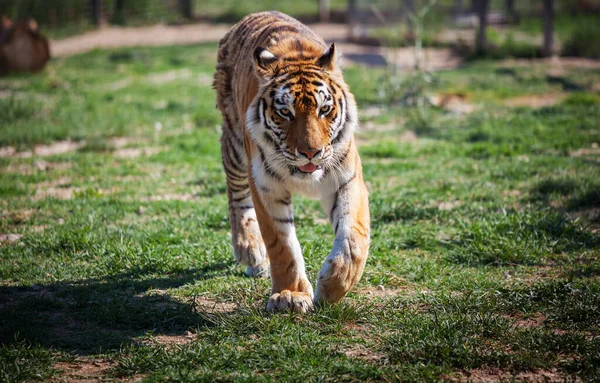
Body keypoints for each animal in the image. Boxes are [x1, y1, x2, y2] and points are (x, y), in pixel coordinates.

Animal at [211, 11, 370, 316]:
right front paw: (290, 296)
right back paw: (250, 250)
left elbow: (354, 239)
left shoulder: (346, 179)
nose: (311, 152)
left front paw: (332, 287)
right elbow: (282, 245)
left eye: (324, 109)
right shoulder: (266, 187)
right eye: (285, 112)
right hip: (235, 144)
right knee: (236, 194)